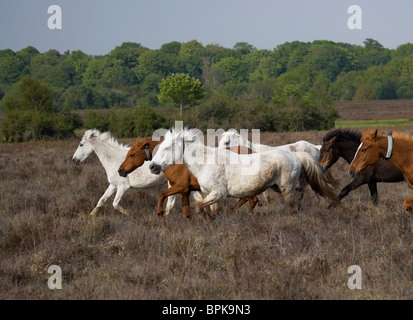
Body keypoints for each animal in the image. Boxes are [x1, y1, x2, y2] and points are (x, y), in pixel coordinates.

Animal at [117, 136, 256, 221]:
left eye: (132, 154)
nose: (120, 170)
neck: (174, 162)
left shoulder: (181, 187)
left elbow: (162, 196)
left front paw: (160, 213)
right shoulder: (184, 191)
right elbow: (186, 211)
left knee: (252, 200)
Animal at [148, 127, 338, 212]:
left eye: (167, 148)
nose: (152, 166)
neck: (206, 162)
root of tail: (296, 156)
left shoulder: (218, 193)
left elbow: (200, 207)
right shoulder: (209, 194)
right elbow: (210, 209)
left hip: (286, 188)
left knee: (295, 205)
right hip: (282, 187)